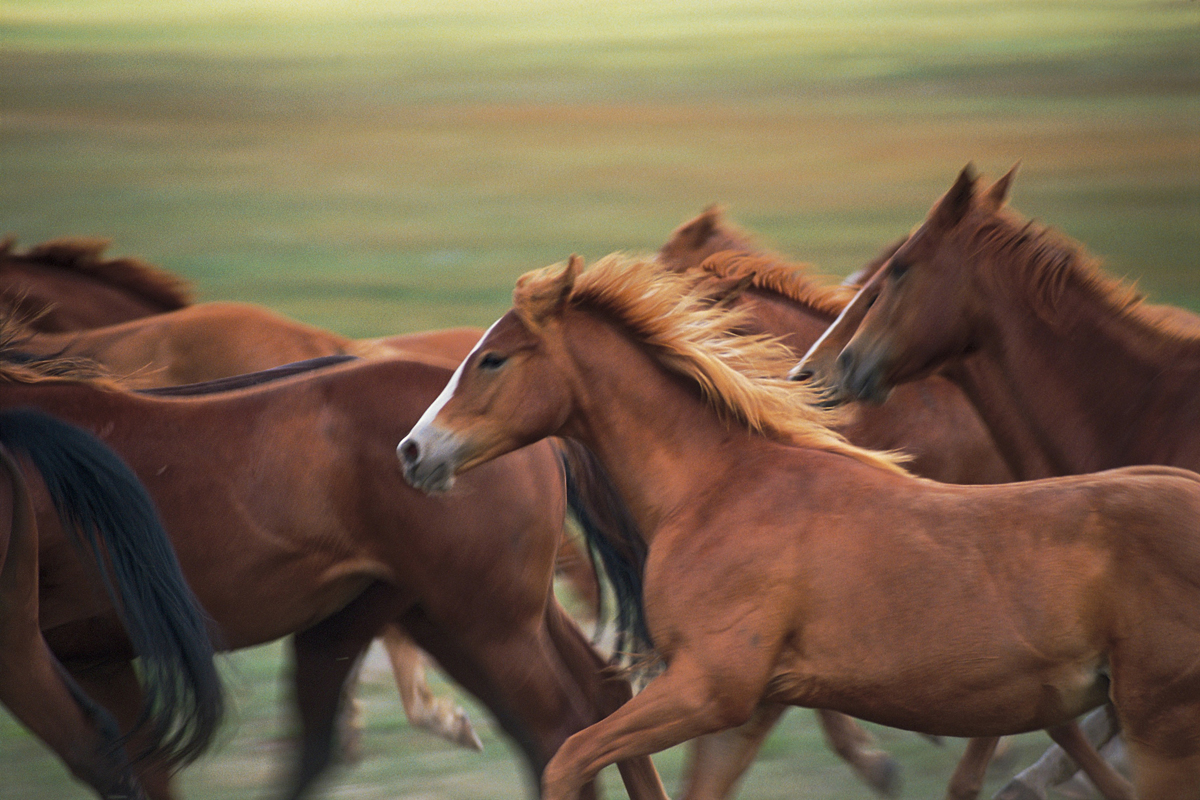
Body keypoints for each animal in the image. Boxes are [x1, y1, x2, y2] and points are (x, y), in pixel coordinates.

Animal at [398, 254, 1200, 800]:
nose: (412, 451)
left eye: (492, 359)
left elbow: (569, 756)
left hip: (1162, 728)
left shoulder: (709, 689)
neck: (719, 487)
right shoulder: (747, 709)